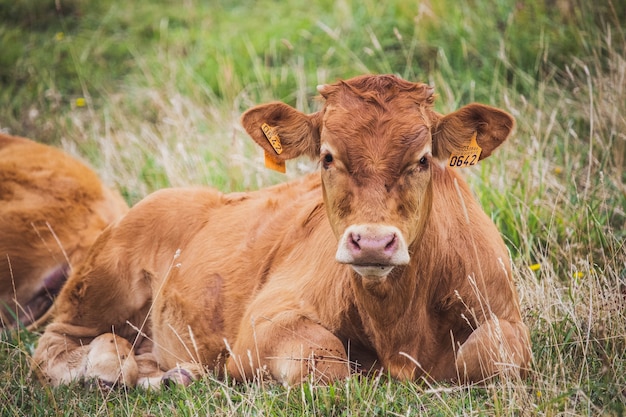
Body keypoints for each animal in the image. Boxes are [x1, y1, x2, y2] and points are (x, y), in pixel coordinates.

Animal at [31, 74, 528, 386]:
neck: (398, 328)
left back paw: (173, 374)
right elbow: (326, 363)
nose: (372, 242)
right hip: (98, 289)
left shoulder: (507, 316)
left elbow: (489, 354)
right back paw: (105, 368)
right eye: (327, 157)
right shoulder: (264, 321)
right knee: (53, 345)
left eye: (422, 159)